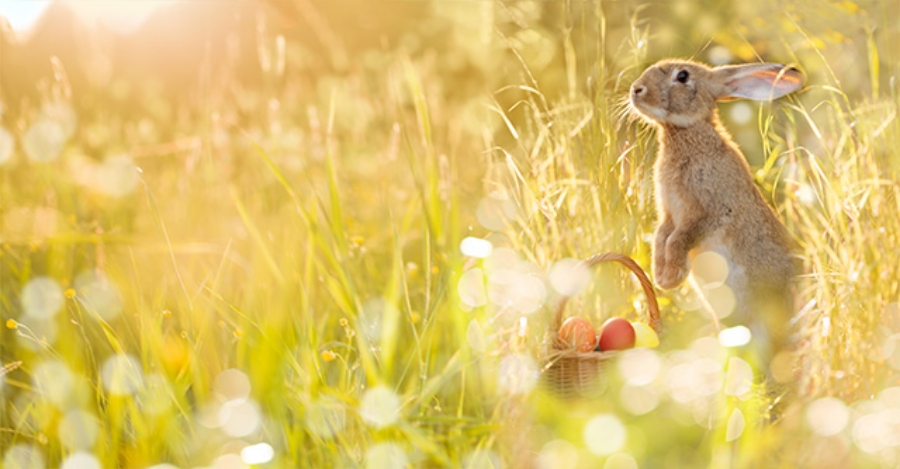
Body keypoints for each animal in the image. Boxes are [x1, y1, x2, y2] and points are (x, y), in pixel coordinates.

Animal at [628, 57, 804, 358]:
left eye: (683, 76)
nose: (636, 89)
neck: (683, 133)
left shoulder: (707, 213)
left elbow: (678, 239)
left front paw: (671, 278)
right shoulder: (668, 214)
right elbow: (662, 237)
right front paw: (661, 275)